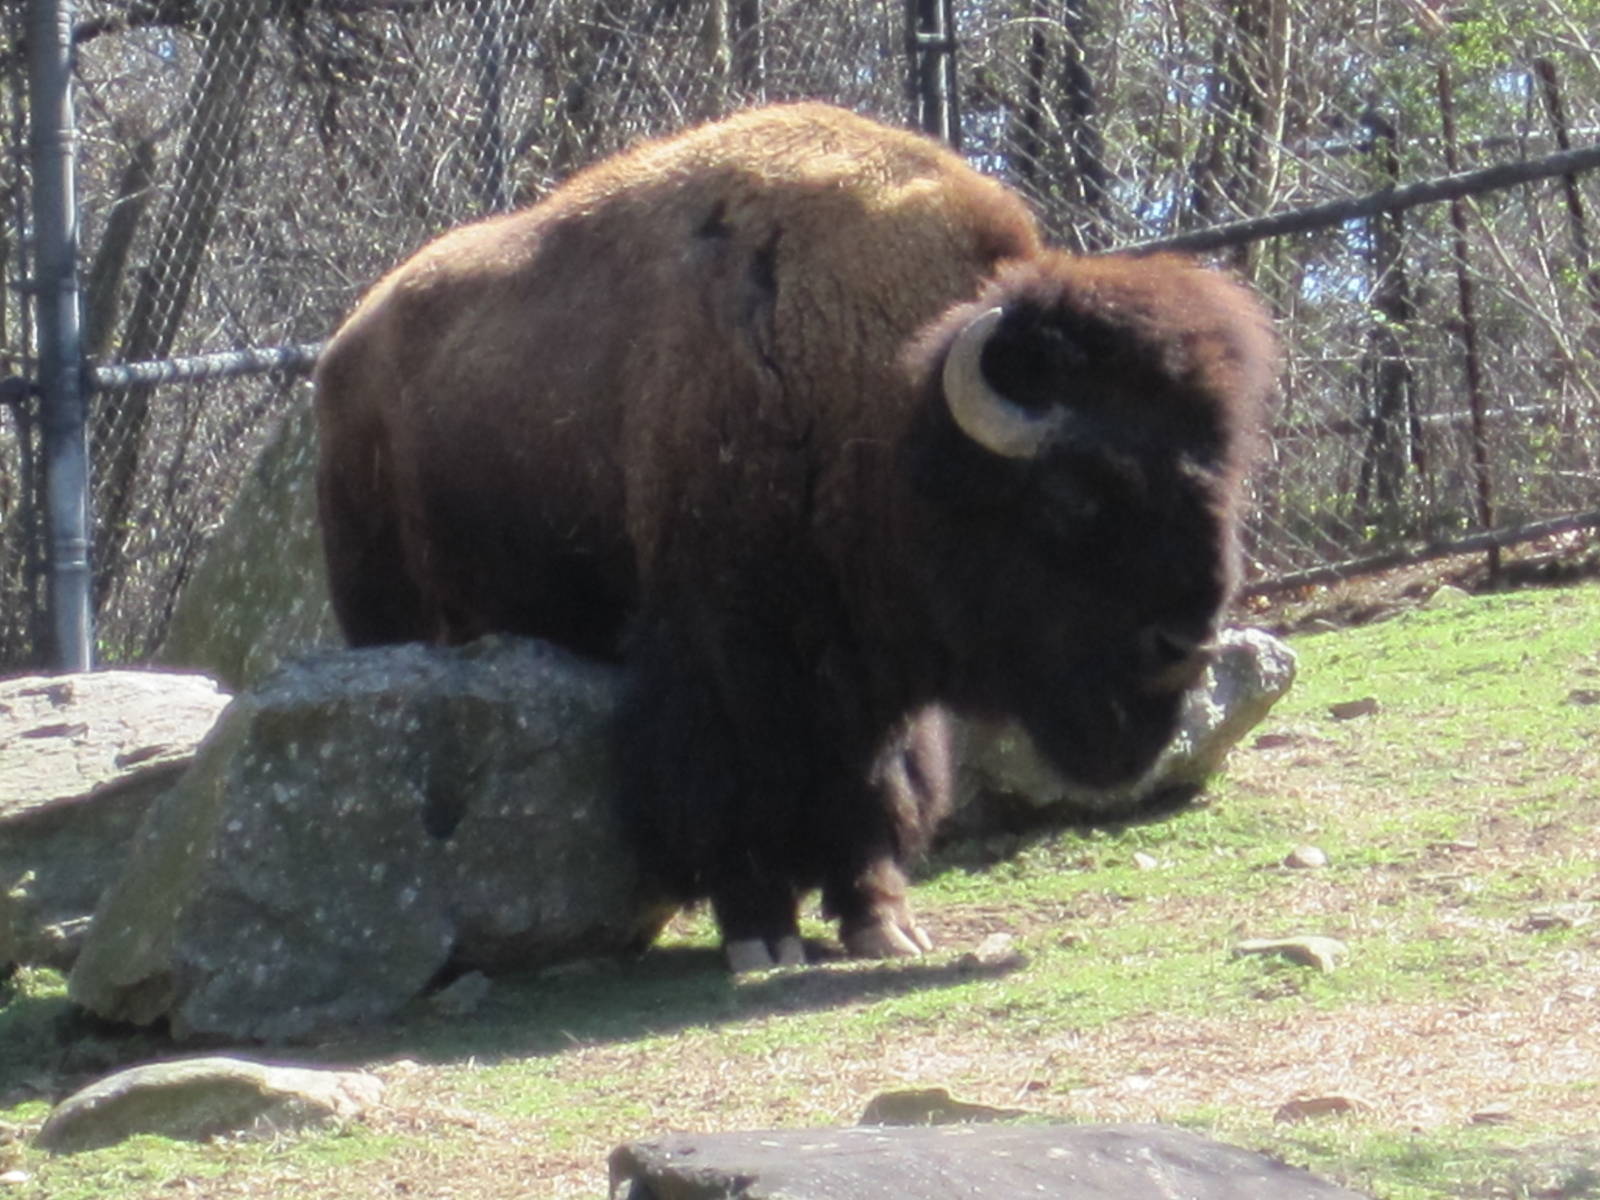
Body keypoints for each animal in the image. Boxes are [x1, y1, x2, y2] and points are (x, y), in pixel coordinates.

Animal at [313, 102, 1276, 971]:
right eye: (1075, 492)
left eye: (1223, 473)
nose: (1186, 644)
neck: (889, 401)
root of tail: (341, 353)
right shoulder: (726, 656)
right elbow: (739, 788)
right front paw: (763, 937)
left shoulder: (869, 680)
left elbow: (875, 789)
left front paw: (883, 925)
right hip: (392, 620)